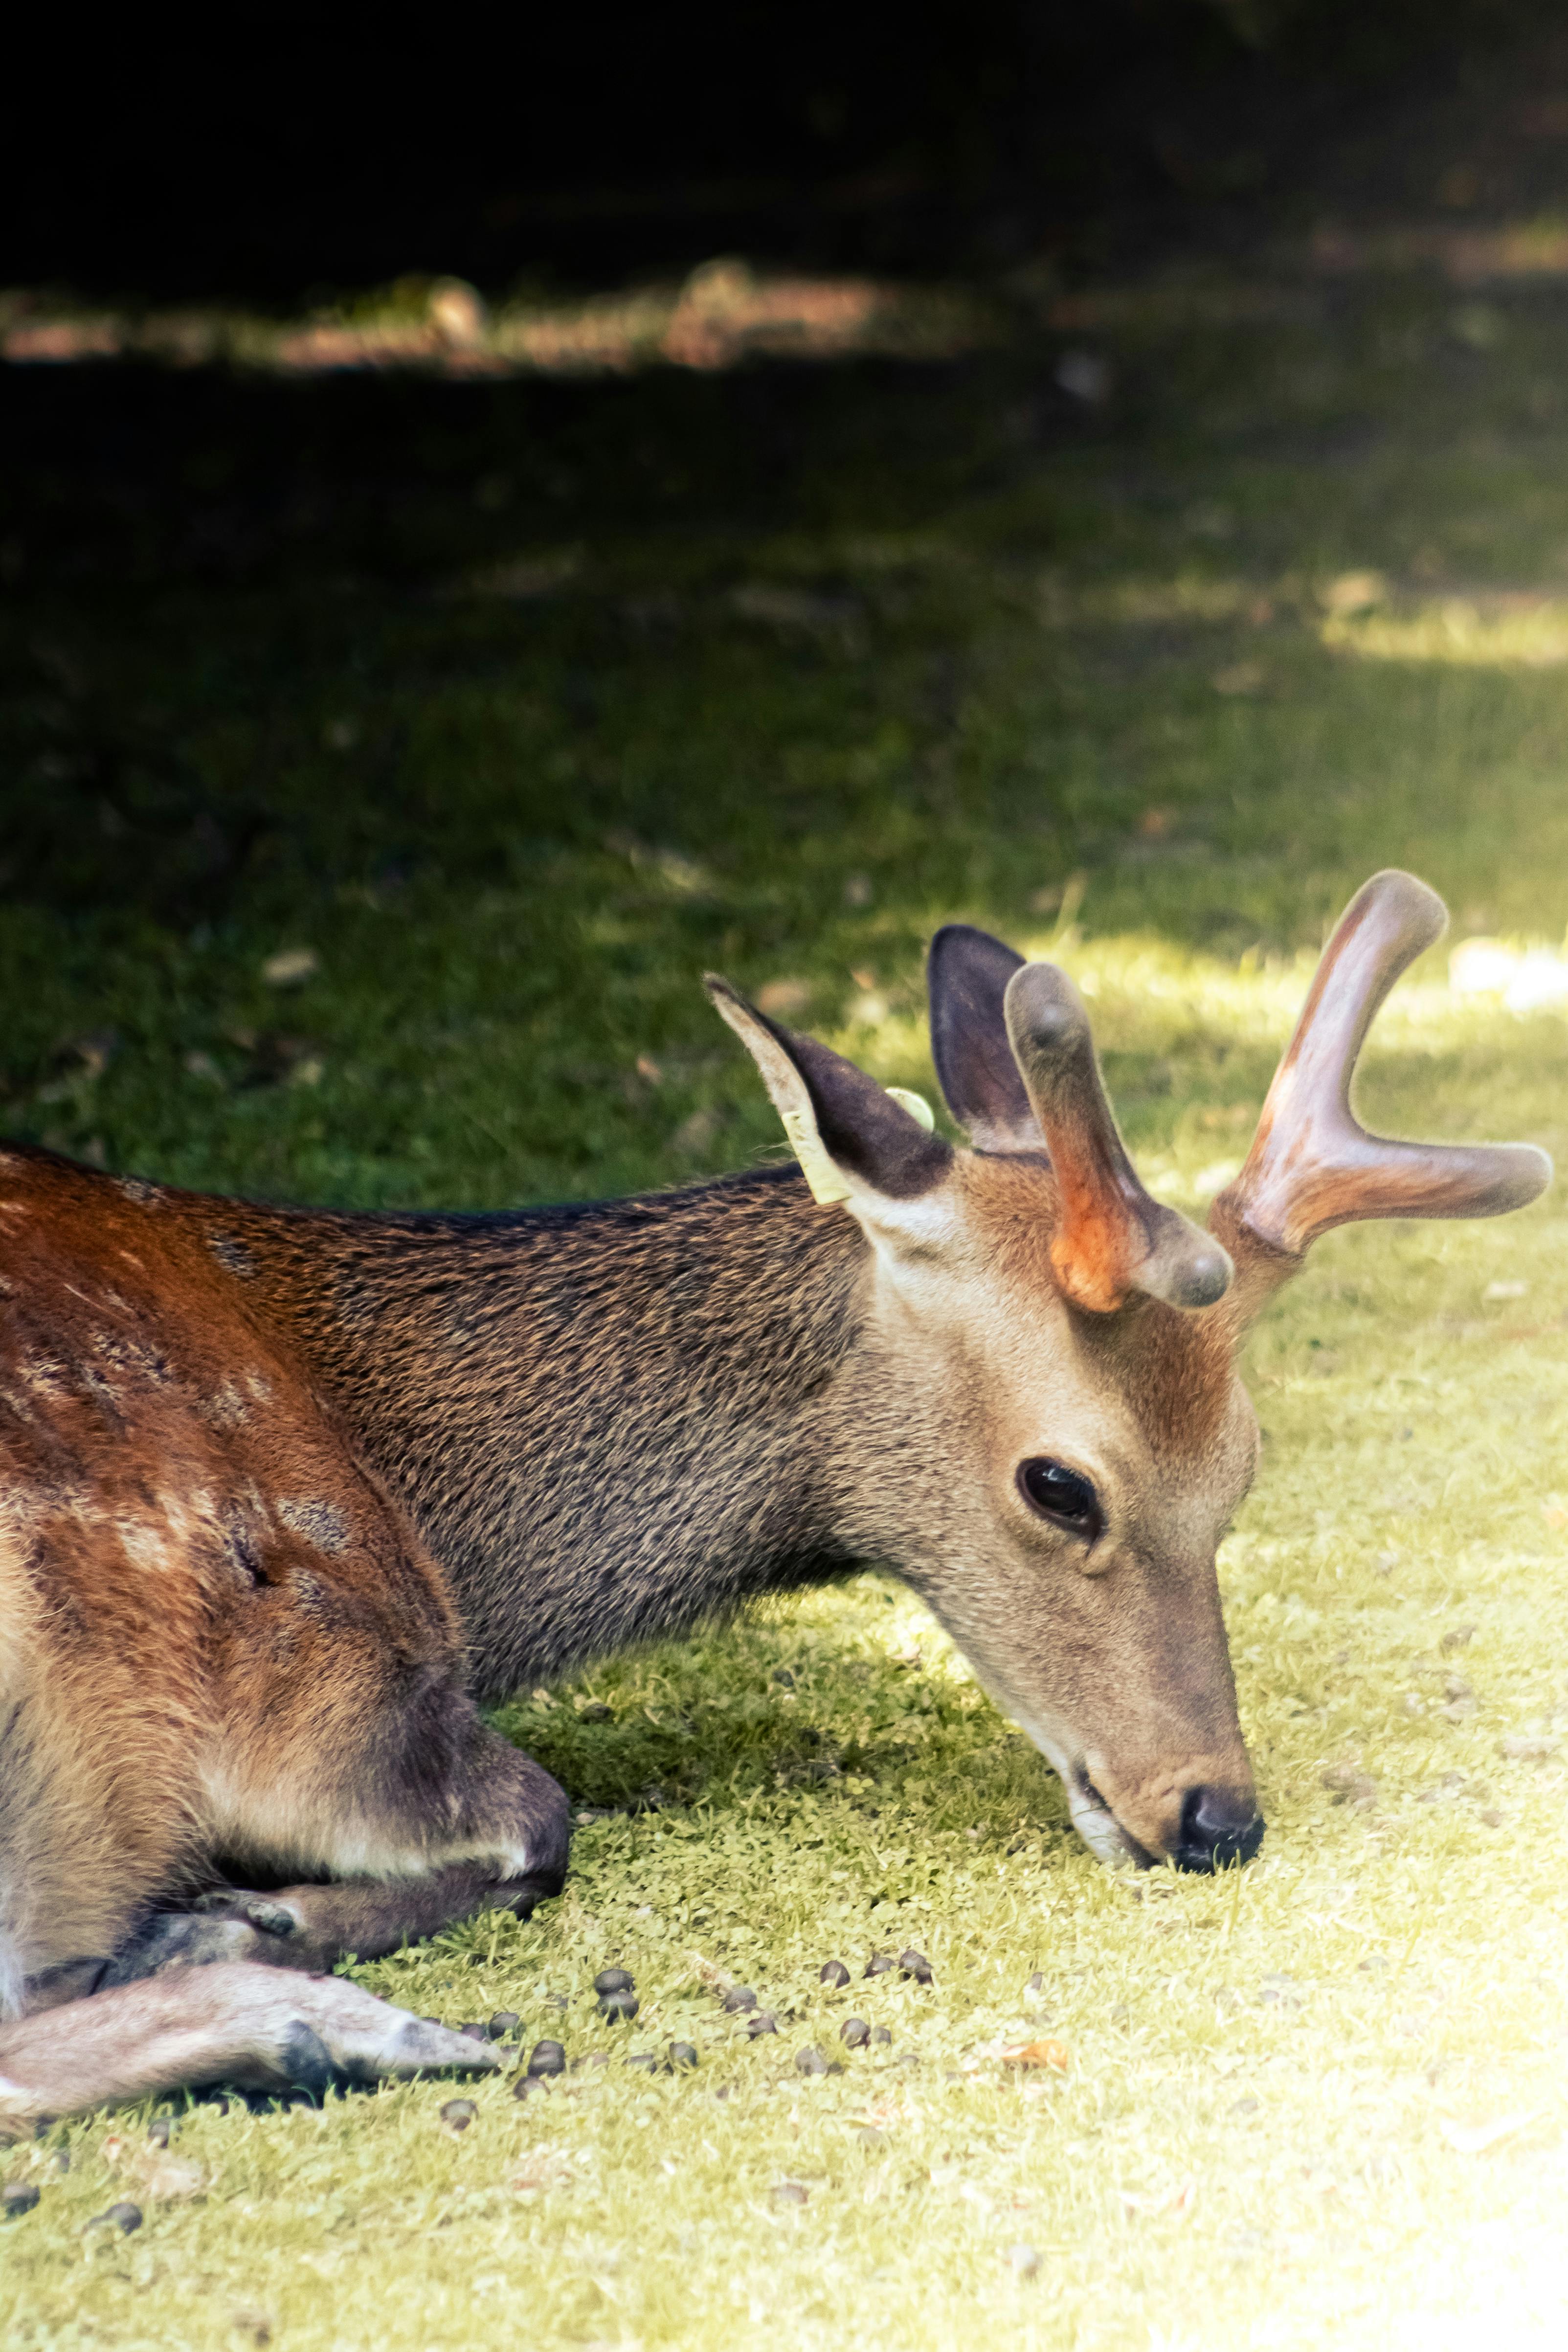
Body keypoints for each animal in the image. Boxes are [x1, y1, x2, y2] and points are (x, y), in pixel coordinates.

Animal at [0, 869, 1548, 2134]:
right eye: (1060, 1485)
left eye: (1243, 1469)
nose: (1216, 1816)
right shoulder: (309, 1677)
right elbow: (542, 1819)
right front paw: (234, 1921)